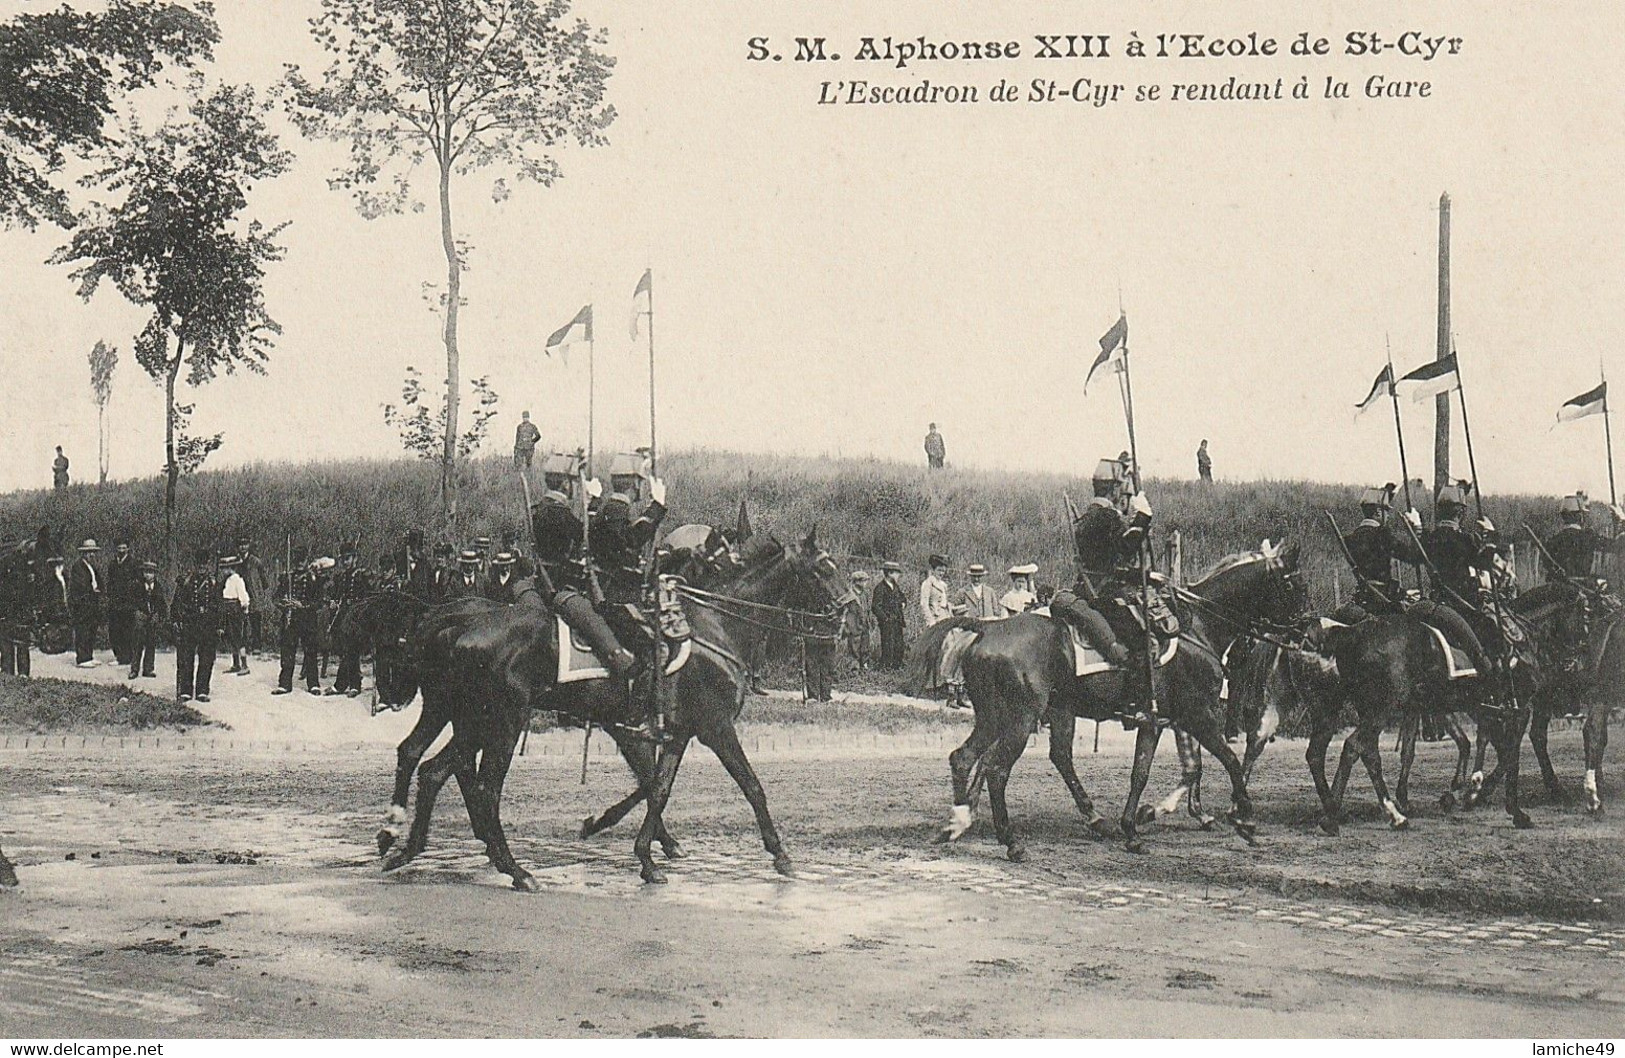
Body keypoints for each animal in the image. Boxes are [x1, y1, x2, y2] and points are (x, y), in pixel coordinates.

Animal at [365, 526, 851, 884]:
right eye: (825, 567)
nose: (849, 608)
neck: (714, 626)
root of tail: (455, 622)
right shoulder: (714, 728)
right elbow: (749, 786)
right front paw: (780, 853)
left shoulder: (675, 731)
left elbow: (657, 785)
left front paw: (638, 848)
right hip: (499, 721)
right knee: (480, 785)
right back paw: (512, 868)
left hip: (460, 715)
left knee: (427, 763)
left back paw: (403, 843)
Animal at [910, 542, 1313, 858]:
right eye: (1295, 584)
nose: (1308, 632)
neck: (1195, 627)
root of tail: (986, 628)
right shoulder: (1198, 715)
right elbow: (1226, 759)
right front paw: (1244, 818)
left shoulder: (1162, 721)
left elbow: (1148, 771)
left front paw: (1133, 827)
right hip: (1021, 719)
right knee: (996, 768)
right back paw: (1010, 840)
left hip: (1009, 715)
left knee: (973, 758)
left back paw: (962, 821)